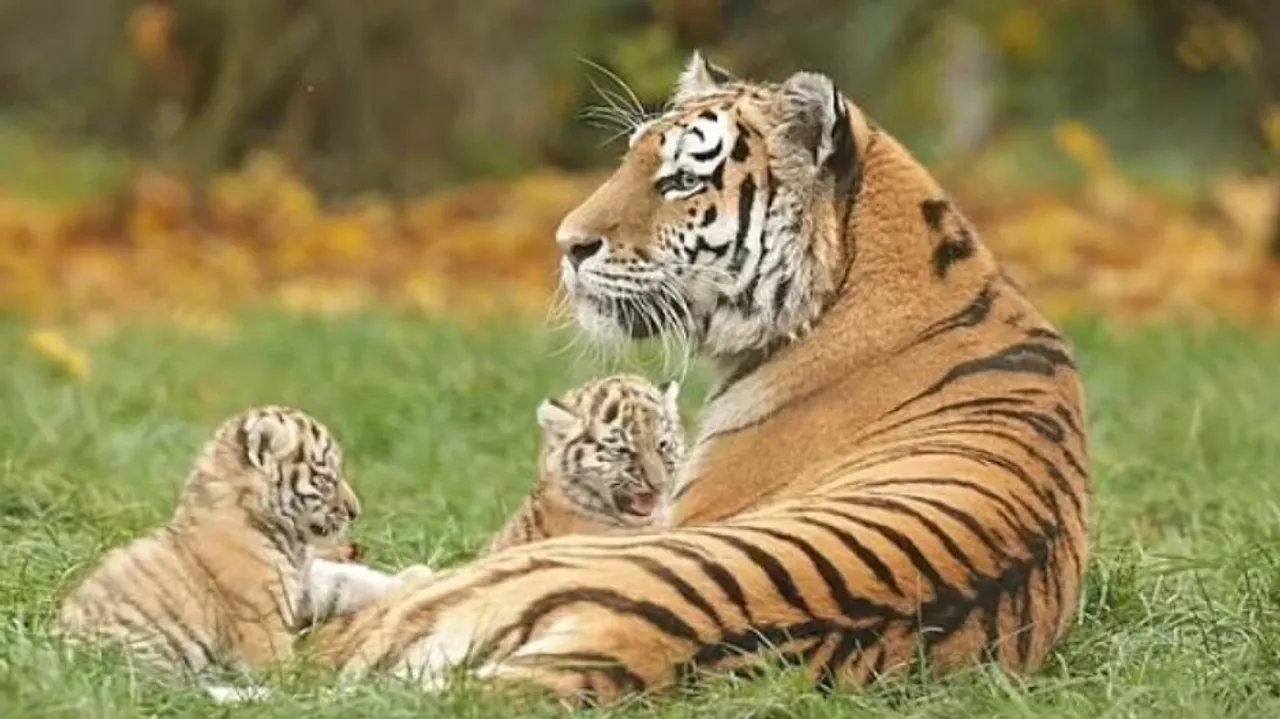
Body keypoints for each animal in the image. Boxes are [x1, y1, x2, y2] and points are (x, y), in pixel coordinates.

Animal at [54, 405, 414, 695]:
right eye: (326, 477)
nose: (355, 511)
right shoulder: (263, 625)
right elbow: (291, 673)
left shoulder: (300, 583)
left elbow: (344, 580)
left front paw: (407, 581)